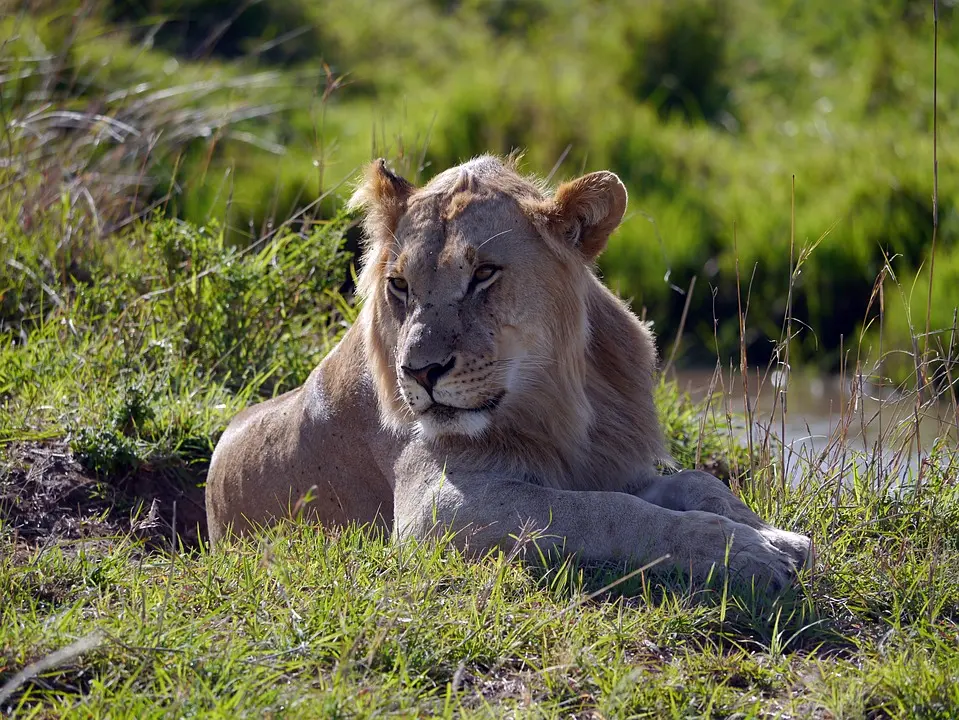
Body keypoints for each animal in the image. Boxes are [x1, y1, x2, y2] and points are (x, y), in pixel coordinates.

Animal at [206, 155, 812, 588]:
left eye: (484, 275)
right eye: (399, 285)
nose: (419, 372)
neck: (557, 403)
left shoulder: (610, 463)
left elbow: (700, 482)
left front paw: (777, 536)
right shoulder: (436, 508)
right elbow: (609, 513)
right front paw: (746, 552)